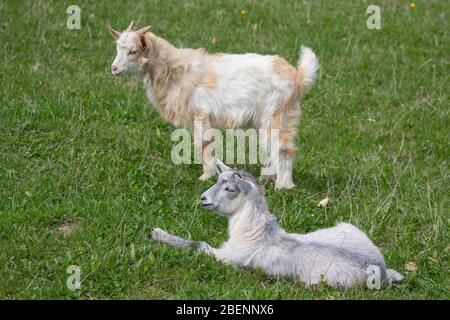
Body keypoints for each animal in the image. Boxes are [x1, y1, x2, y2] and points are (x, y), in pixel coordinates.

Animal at [108, 21, 320, 189]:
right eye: (117, 49)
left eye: (133, 51)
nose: (114, 69)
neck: (172, 69)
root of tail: (297, 77)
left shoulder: (200, 115)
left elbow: (204, 144)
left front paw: (206, 176)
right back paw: (267, 177)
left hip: (277, 115)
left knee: (283, 149)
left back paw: (283, 186)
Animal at [152, 161, 404, 288]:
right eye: (217, 180)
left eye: (230, 188)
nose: (203, 198)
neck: (254, 232)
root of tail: (381, 270)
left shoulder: (229, 258)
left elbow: (199, 244)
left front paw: (158, 234)